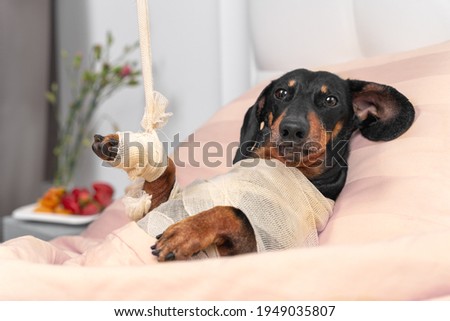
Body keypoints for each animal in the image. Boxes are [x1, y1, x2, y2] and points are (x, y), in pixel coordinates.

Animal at [92, 68, 414, 260]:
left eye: (331, 100)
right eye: (281, 93)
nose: (292, 130)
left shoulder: (257, 245)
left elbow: (232, 211)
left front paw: (184, 233)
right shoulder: (163, 203)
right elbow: (165, 175)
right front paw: (118, 146)